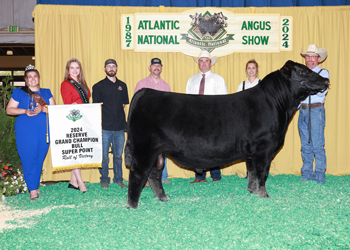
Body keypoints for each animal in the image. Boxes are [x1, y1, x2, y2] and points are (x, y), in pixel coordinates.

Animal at [124, 60, 330, 209]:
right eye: (302, 72)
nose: (326, 81)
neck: (278, 105)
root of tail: (145, 92)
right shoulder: (264, 148)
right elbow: (262, 173)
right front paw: (264, 195)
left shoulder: (251, 152)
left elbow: (252, 172)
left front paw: (252, 192)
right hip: (144, 148)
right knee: (137, 174)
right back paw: (132, 205)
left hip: (158, 152)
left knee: (154, 174)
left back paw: (163, 198)